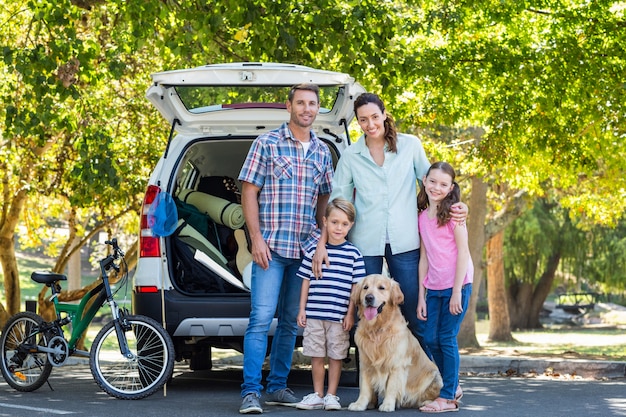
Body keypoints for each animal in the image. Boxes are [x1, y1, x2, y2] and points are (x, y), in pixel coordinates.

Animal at [348, 272, 442, 412]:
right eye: (365, 287)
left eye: (381, 288)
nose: (369, 298)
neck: (378, 328)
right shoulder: (365, 363)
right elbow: (364, 388)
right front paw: (360, 404)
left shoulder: (396, 364)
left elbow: (392, 387)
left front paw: (387, 404)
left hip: (434, 377)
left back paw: (427, 403)